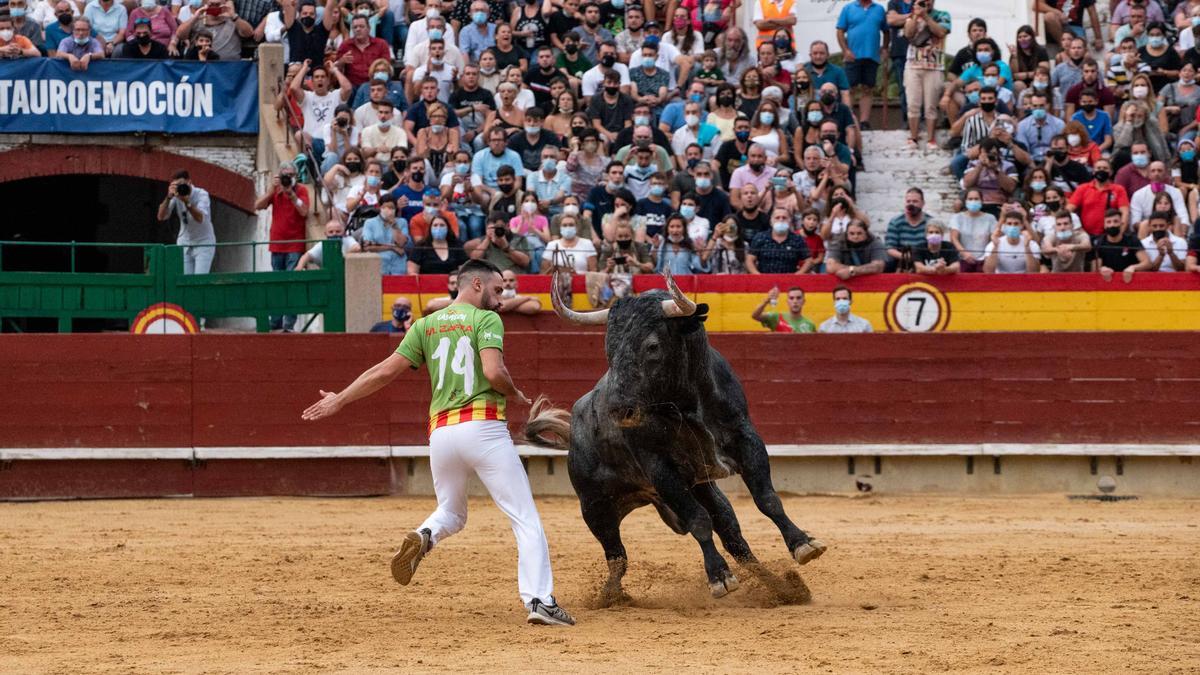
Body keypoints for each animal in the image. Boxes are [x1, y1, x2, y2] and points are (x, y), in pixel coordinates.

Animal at [525, 267, 825, 598]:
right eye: (609, 348)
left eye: (652, 346)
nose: (618, 410)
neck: (686, 402)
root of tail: (572, 432)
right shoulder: (659, 467)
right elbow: (698, 520)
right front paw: (719, 577)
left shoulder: (745, 438)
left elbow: (767, 498)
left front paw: (803, 543)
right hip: (594, 506)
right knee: (617, 557)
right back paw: (610, 596)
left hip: (701, 488)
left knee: (730, 531)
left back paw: (777, 586)